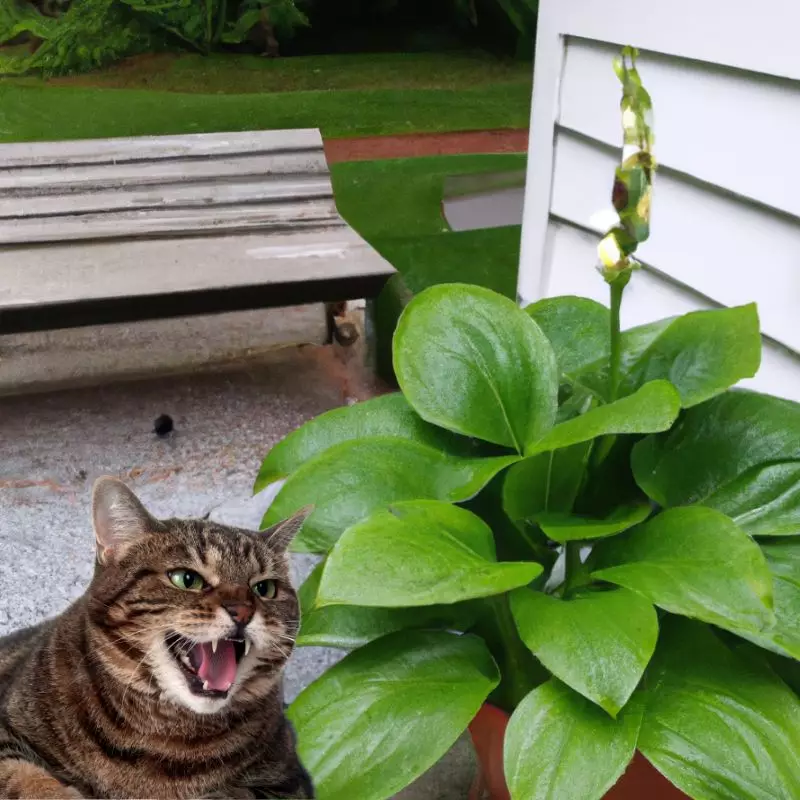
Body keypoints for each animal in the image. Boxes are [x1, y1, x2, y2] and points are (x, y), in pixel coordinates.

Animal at [0, 478, 318, 796]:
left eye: (265, 588)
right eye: (187, 579)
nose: (242, 612)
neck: (163, 732)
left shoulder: (287, 781)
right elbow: (23, 776)